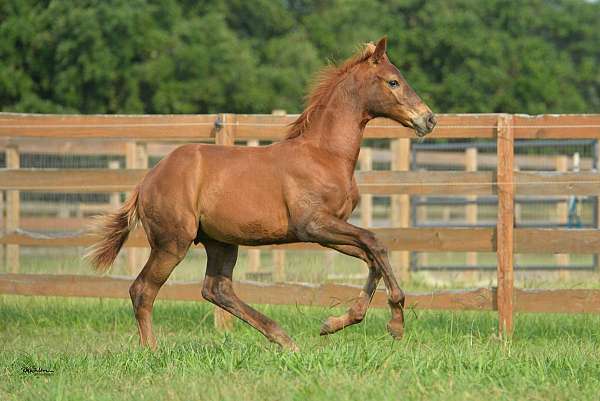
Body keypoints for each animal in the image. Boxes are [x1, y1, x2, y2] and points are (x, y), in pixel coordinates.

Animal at [86, 38, 436, 350]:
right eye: (393, 81)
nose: (429, 118)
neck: (324, 154)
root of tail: (147, 181)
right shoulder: (314, 225)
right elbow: (376, 243)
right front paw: (396, 323)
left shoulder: (328, 231)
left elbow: (372, 256)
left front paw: (334, 323)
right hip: (172, 242)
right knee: (142, 290)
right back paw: (152, 350)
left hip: (221, 242)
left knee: (216, 289)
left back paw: (284, 339)